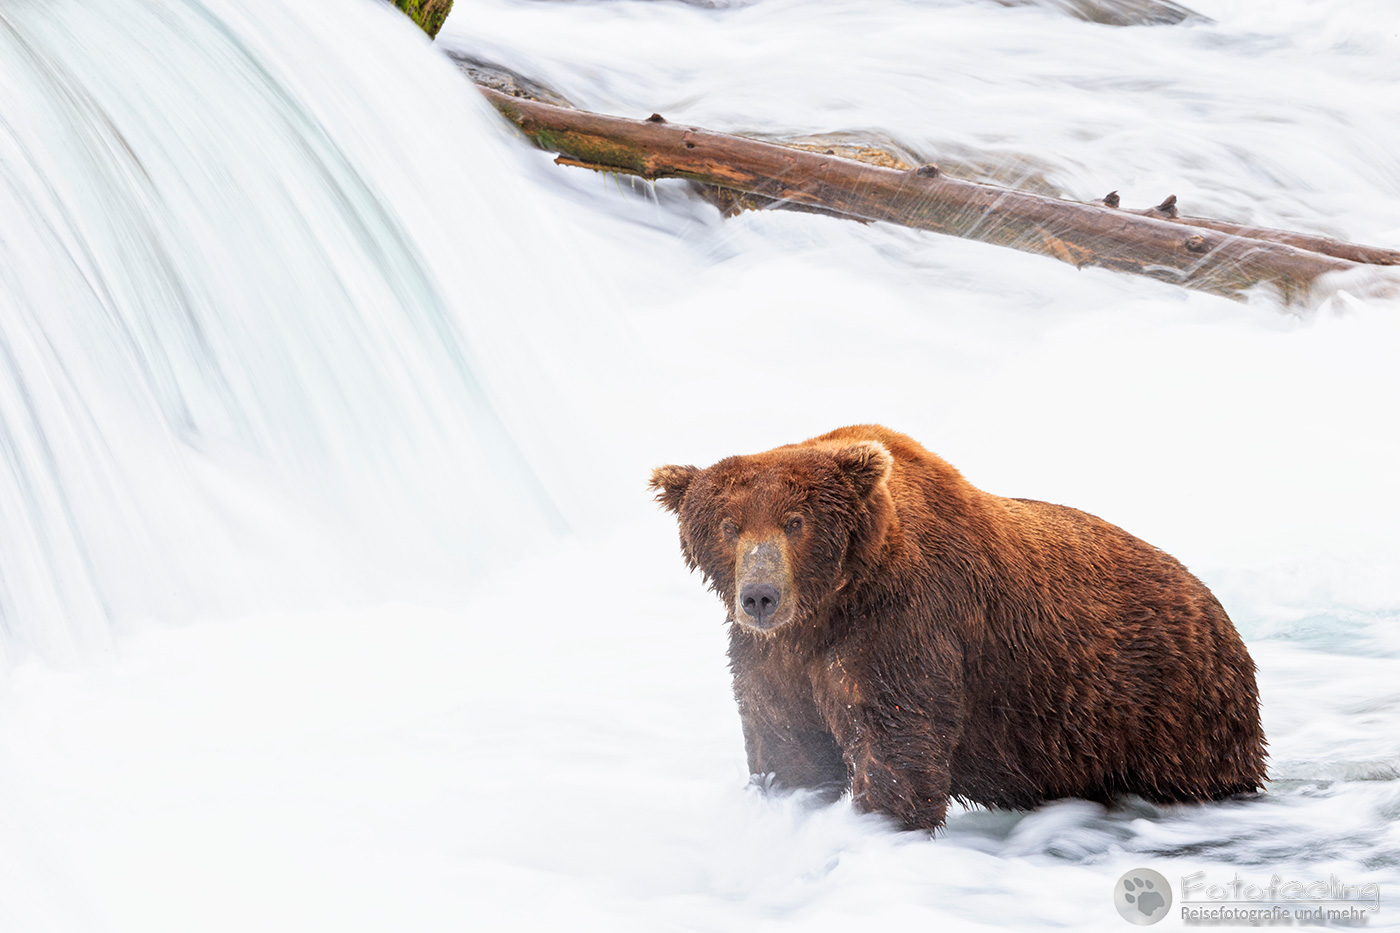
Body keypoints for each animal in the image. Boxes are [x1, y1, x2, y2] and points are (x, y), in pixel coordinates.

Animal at [649, 424, 1267, 831]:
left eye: (795, 521)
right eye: (728, 525)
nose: (759, 595)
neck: (829, 606)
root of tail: (1214, 605)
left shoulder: (902, 628)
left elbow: (896, 742)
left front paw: (883, 821)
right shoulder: (775, 657)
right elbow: (786, 743)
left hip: (1168, 706)